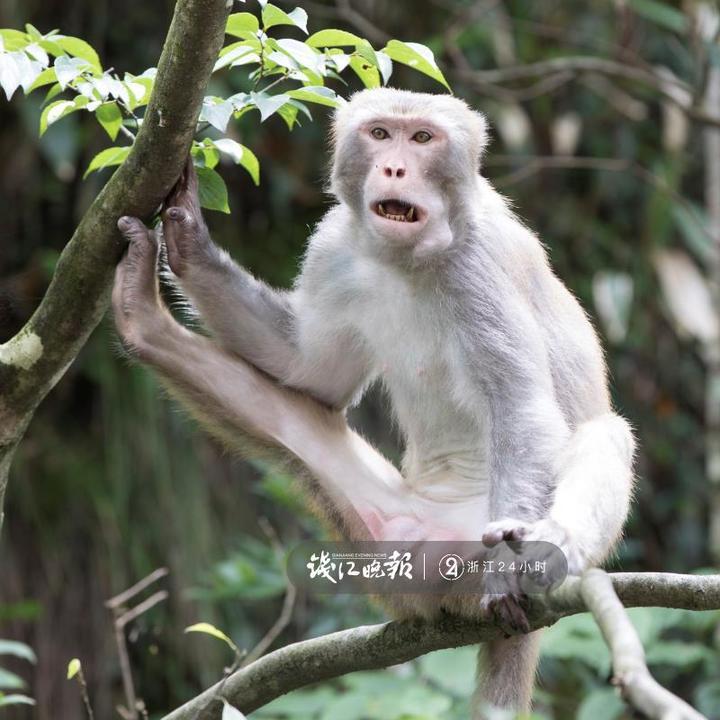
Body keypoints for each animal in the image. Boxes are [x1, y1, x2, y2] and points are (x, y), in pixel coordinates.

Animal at [111, 87, 636, 716]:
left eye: (424, 139)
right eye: (382, 134)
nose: (394, 168)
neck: (408, 259)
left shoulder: (479, 268)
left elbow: (522, 405)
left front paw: (512, 568)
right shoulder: (334, 246)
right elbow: (308, 371)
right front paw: (187, 233)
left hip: (477, 551)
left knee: (606, 433)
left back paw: (548, 548)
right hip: (391, 548)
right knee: (297, 419)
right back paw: (143, 320)